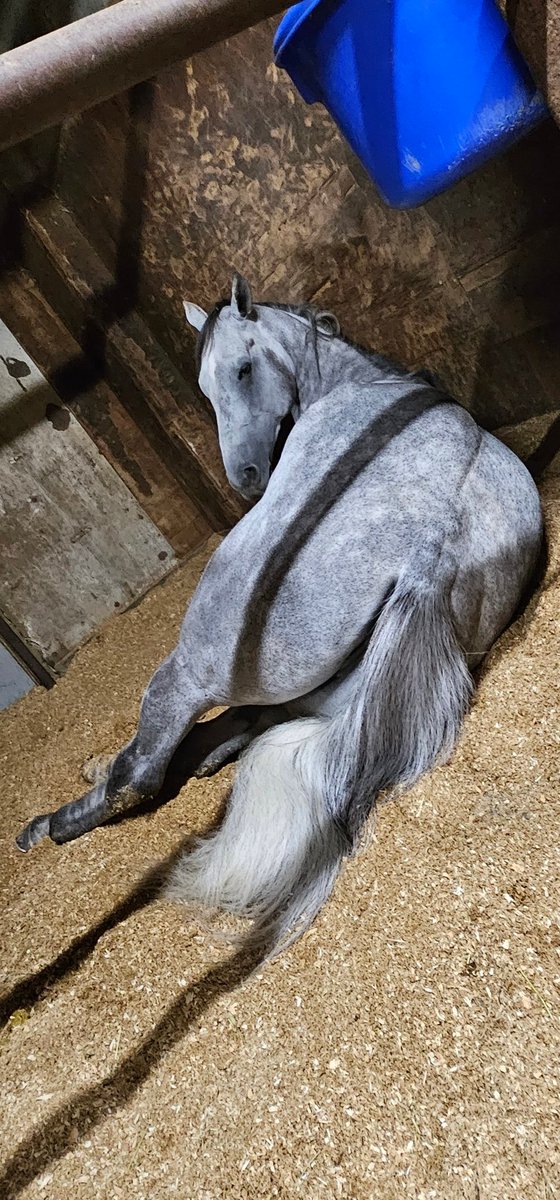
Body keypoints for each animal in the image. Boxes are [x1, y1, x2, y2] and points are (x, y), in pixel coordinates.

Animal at [17, 273, 543, 956]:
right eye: (206, 387)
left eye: (242, 369)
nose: (245, 478)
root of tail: (431, 549)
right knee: (227, 731)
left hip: (190, 669)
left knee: (146, 768)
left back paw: (52, 821)